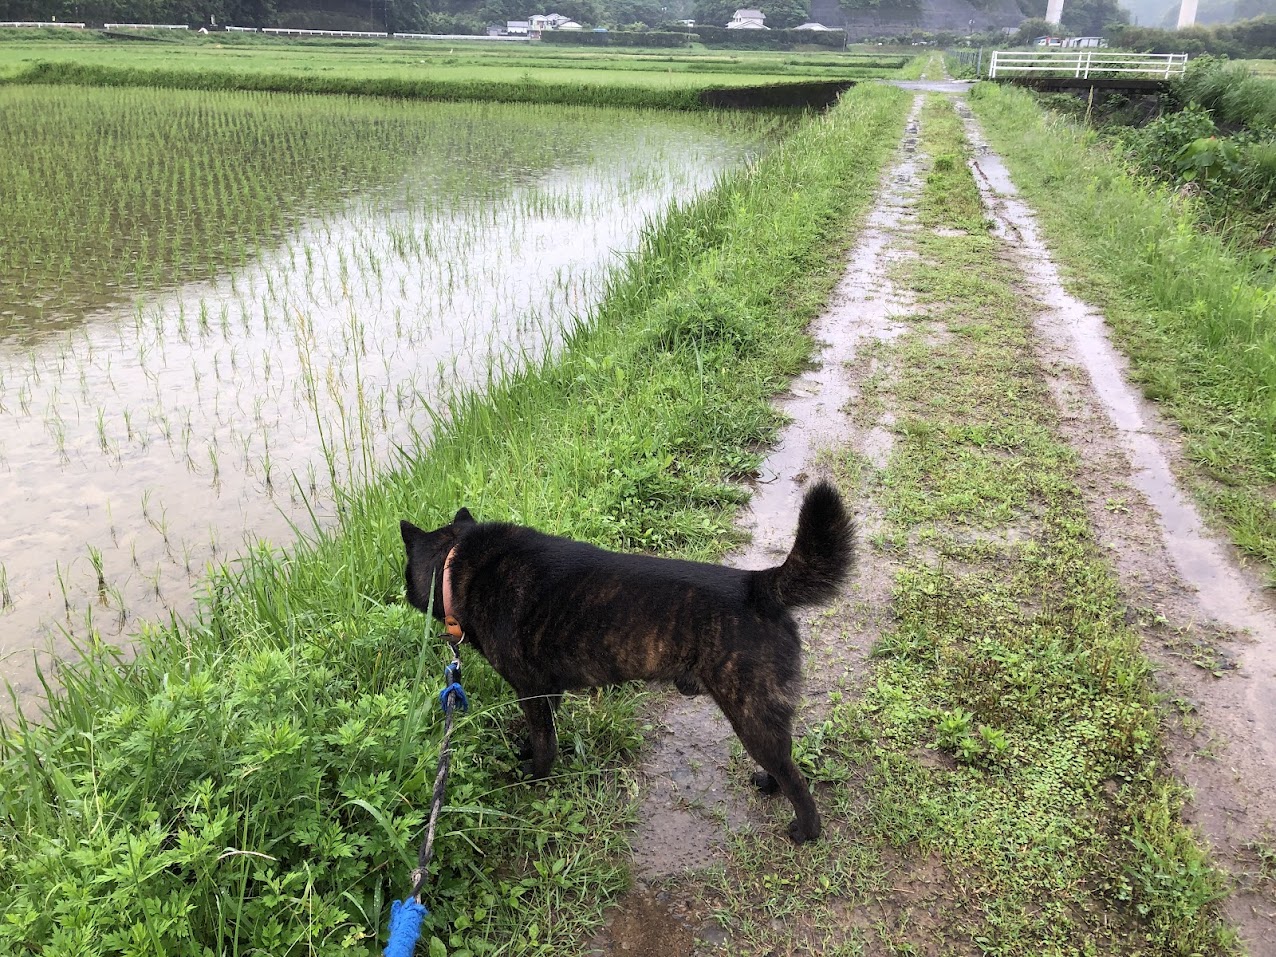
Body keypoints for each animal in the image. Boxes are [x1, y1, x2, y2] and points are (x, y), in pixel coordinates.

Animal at [403, 482, 852, 842]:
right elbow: (542, 728)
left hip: (750, 716)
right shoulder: (547, 690)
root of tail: (757, 585)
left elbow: (545, 744)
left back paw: (807, 830)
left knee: (796, 779)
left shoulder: (529, 689)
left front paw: (534, 773)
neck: (457, 560)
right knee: (786, 757)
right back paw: (770, 785)